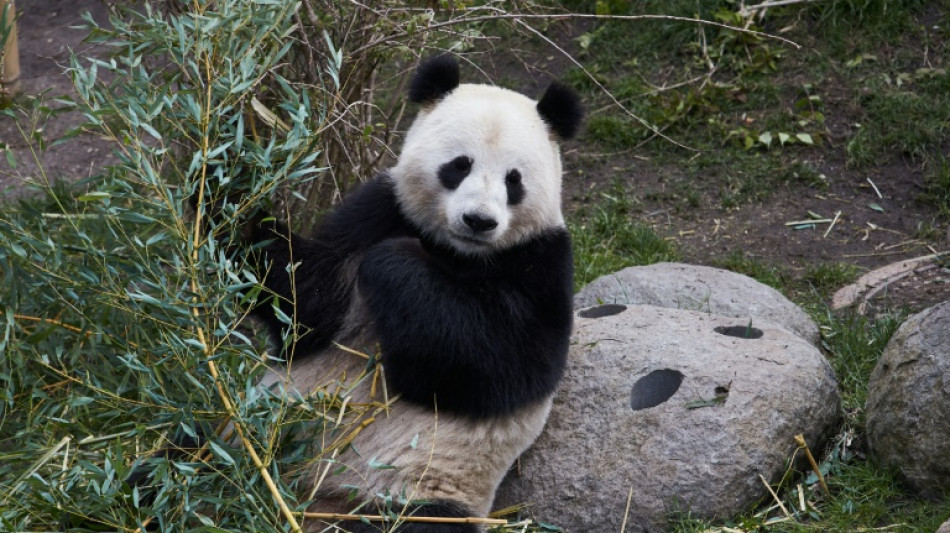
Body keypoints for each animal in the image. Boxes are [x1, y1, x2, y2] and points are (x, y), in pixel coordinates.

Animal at [228, 55, 581, 532]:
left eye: (514, 180)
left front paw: (395, 260)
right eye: (459, 165)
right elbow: (307, 306)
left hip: (416, 490)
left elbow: (505, 364)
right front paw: (228, 194)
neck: (458, 252)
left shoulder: (542, 261)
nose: (479, 220)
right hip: (237, 428)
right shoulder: (380, 207)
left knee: (420, 519)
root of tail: (311, 504)